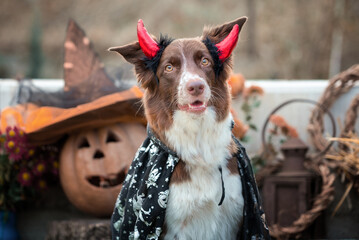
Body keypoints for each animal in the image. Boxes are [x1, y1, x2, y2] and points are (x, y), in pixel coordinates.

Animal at [109, 17, 262, 240]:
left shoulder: (234, 219)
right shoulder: (173, 227)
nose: (196, 86)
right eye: (169, 67)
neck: (198, 143)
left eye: (205, 61)